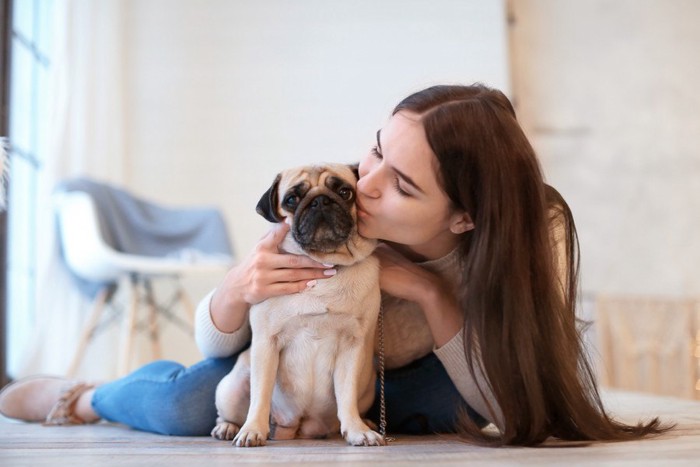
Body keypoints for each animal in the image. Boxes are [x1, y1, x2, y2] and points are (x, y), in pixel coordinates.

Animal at [212, 164, 382, 446]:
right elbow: (260, 395)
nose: (320, 201)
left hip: (367, 387)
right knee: (230, 409)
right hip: (231, 387)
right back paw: (229, 427)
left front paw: (357, 430)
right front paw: (252, 430)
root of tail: (299, 426)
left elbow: (346, 396)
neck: (323, 265)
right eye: (291, 199)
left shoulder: (352, 345)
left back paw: (364, 422)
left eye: (345, 192)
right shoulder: (266, 343)